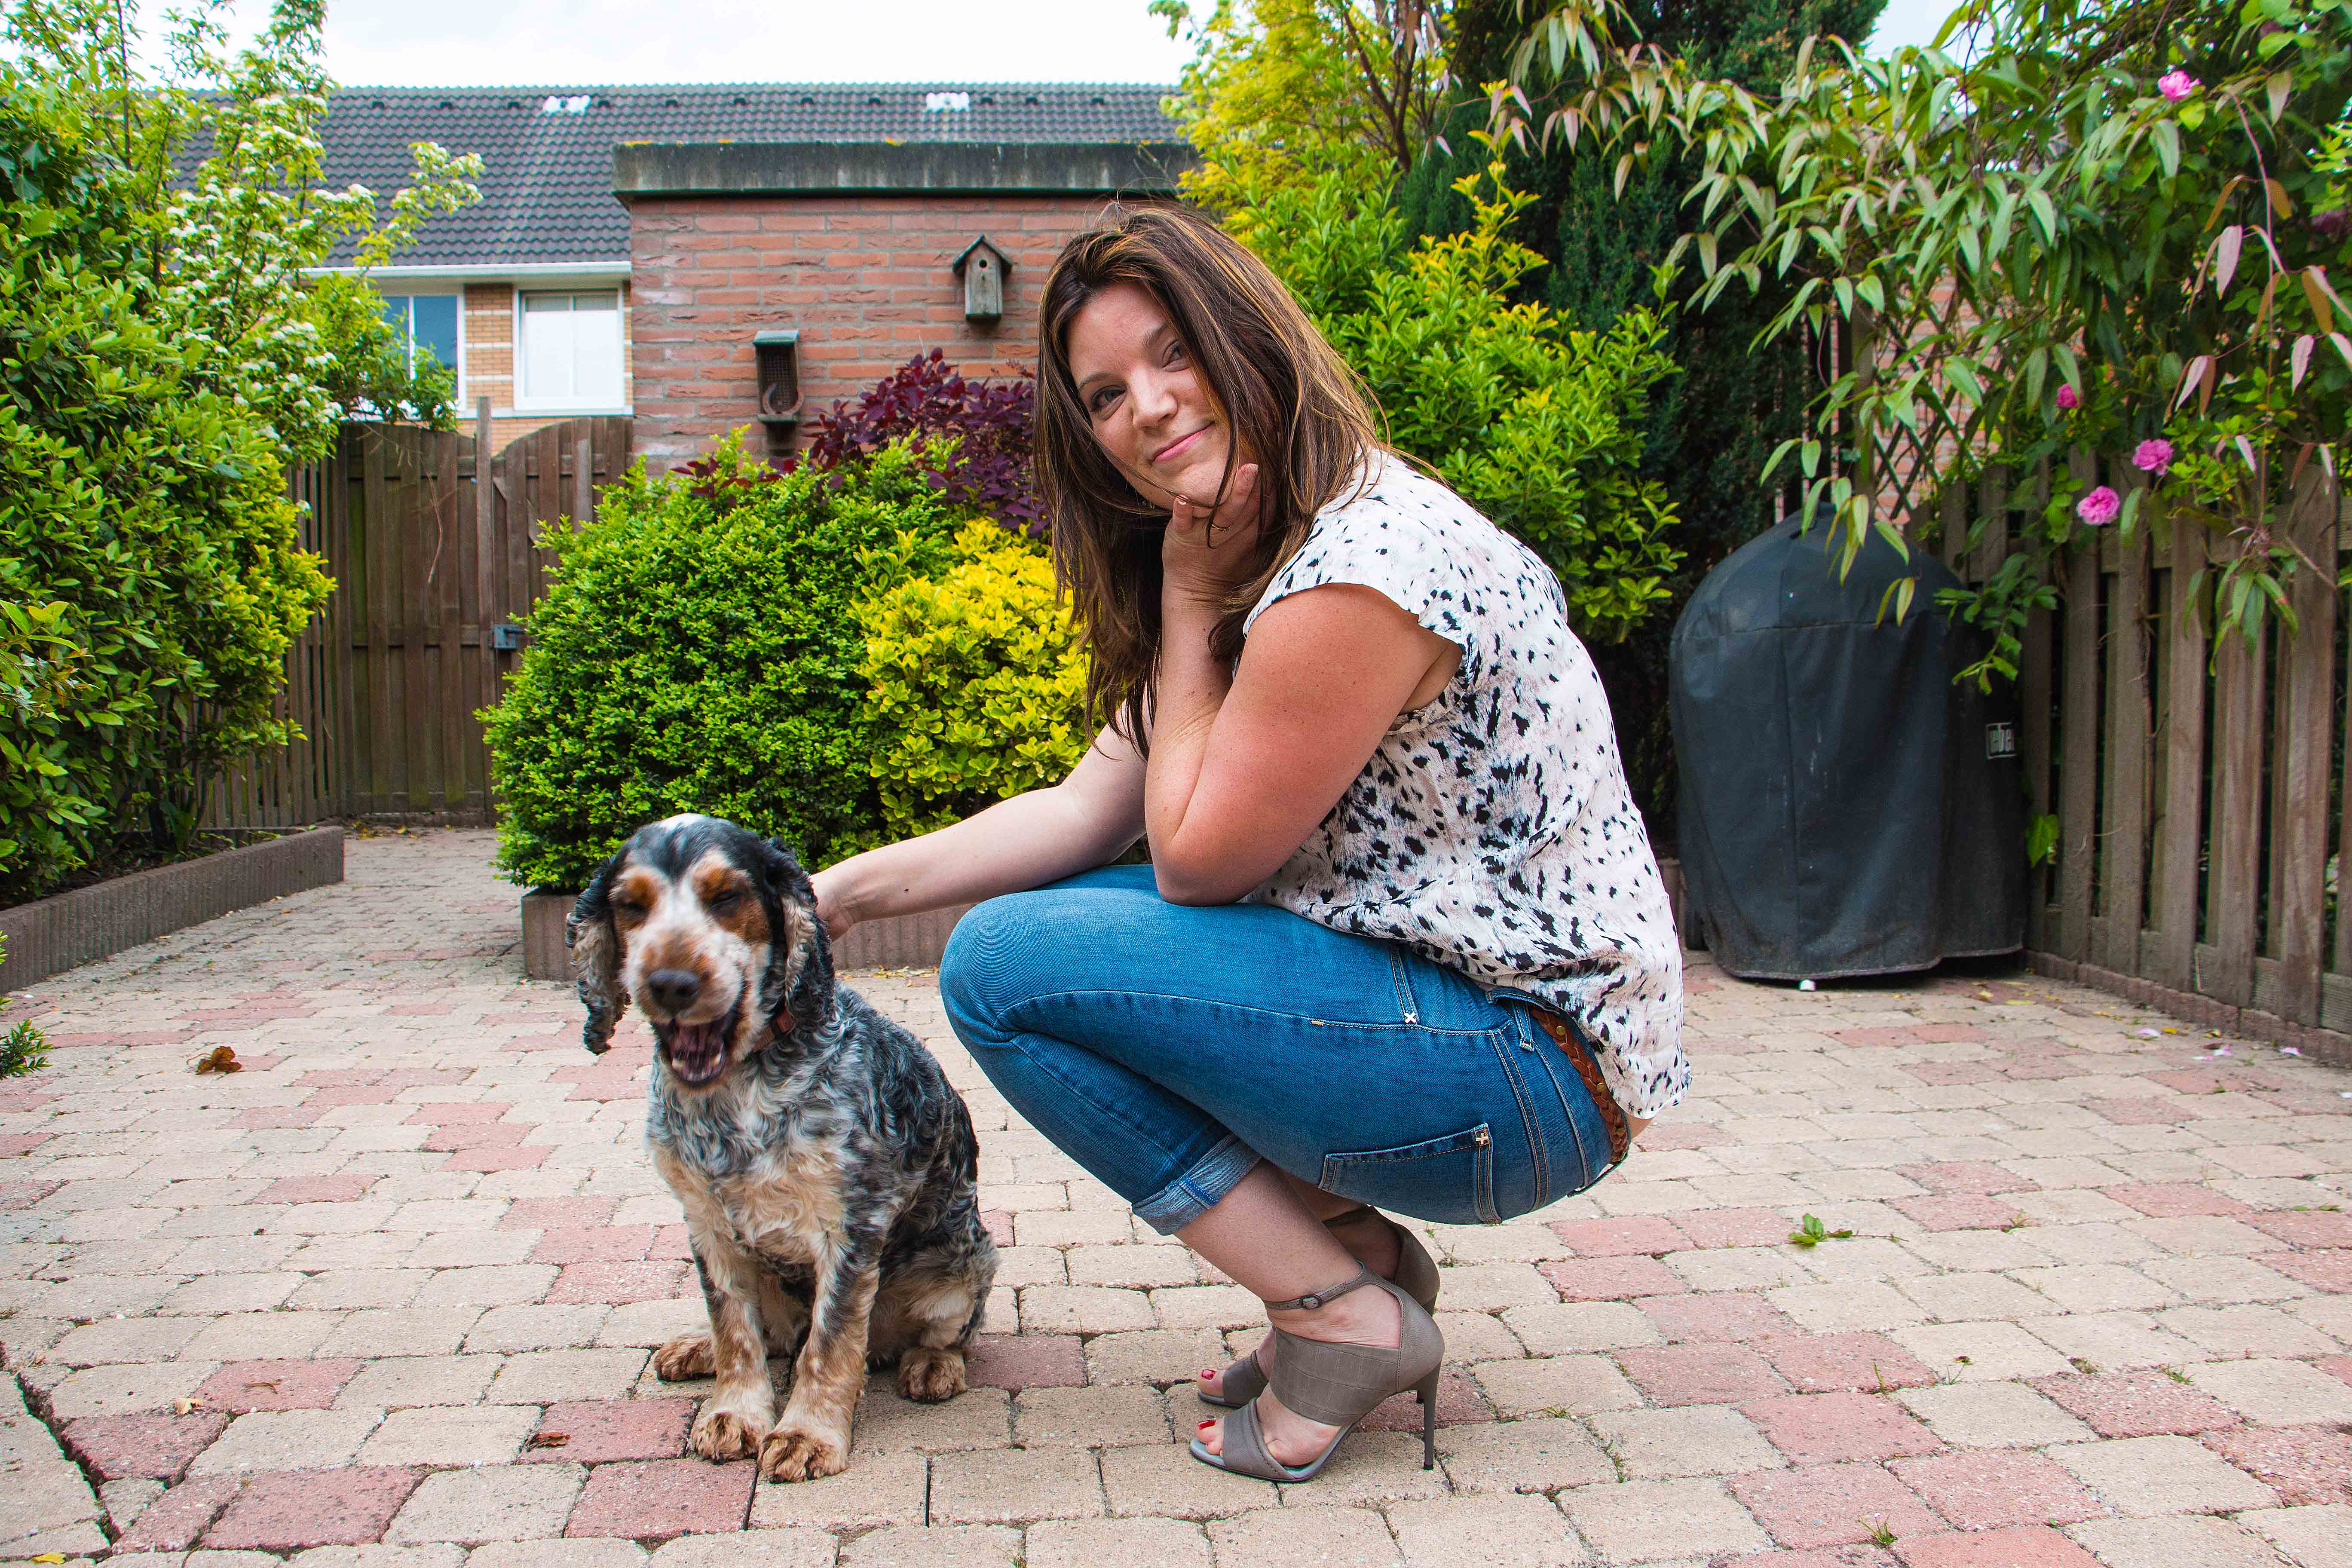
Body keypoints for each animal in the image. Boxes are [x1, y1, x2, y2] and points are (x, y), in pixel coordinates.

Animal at [568, 814, 997, 1482]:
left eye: (726, 897)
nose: (670, 984)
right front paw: (734, 1413)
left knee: (935, 1336)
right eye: (631, 906)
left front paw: (807, 1434)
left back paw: (931, 1366)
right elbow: (734, 1331)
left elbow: (830, 1344)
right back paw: (695, 1348)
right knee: (772, 1337)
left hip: (965, 1263)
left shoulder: (850, 1227)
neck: (734, 1095)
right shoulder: (708, 1227)